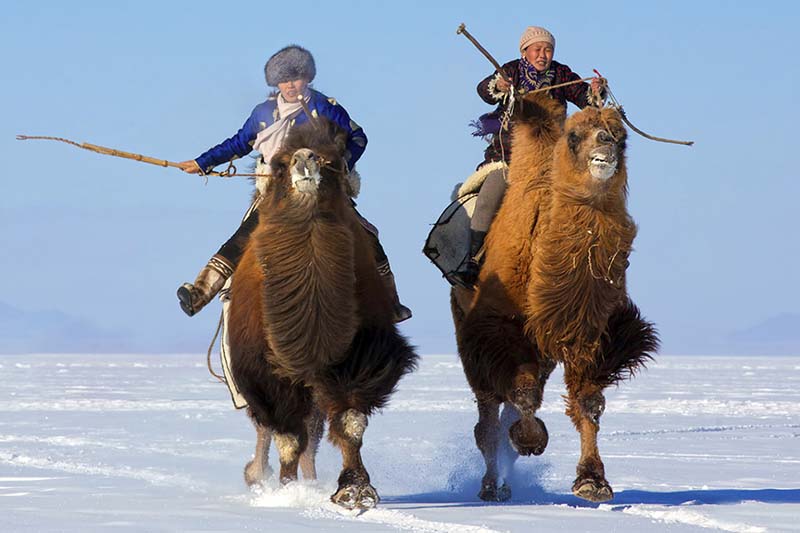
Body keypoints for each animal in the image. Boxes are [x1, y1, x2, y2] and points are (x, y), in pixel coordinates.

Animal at [223, 118, 416, 510]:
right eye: (281, 164)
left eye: (331, 161)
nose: (305, 160)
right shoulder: (265, 371)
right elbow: (287, 437)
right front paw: (286, 490)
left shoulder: (358, 358)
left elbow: (349, 421)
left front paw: (355, 490)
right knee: (274, 428)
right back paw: (261, 476)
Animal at [454, 94, 660, 502]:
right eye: (574, 136)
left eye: (622, 136)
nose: (606, 144)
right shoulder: (500, 328)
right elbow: (524, 396)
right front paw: (531, 441)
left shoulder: (590, 330)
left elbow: (588, 402)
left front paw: (592, 480)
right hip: (468, 325)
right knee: (488, 416)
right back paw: (490, 486)